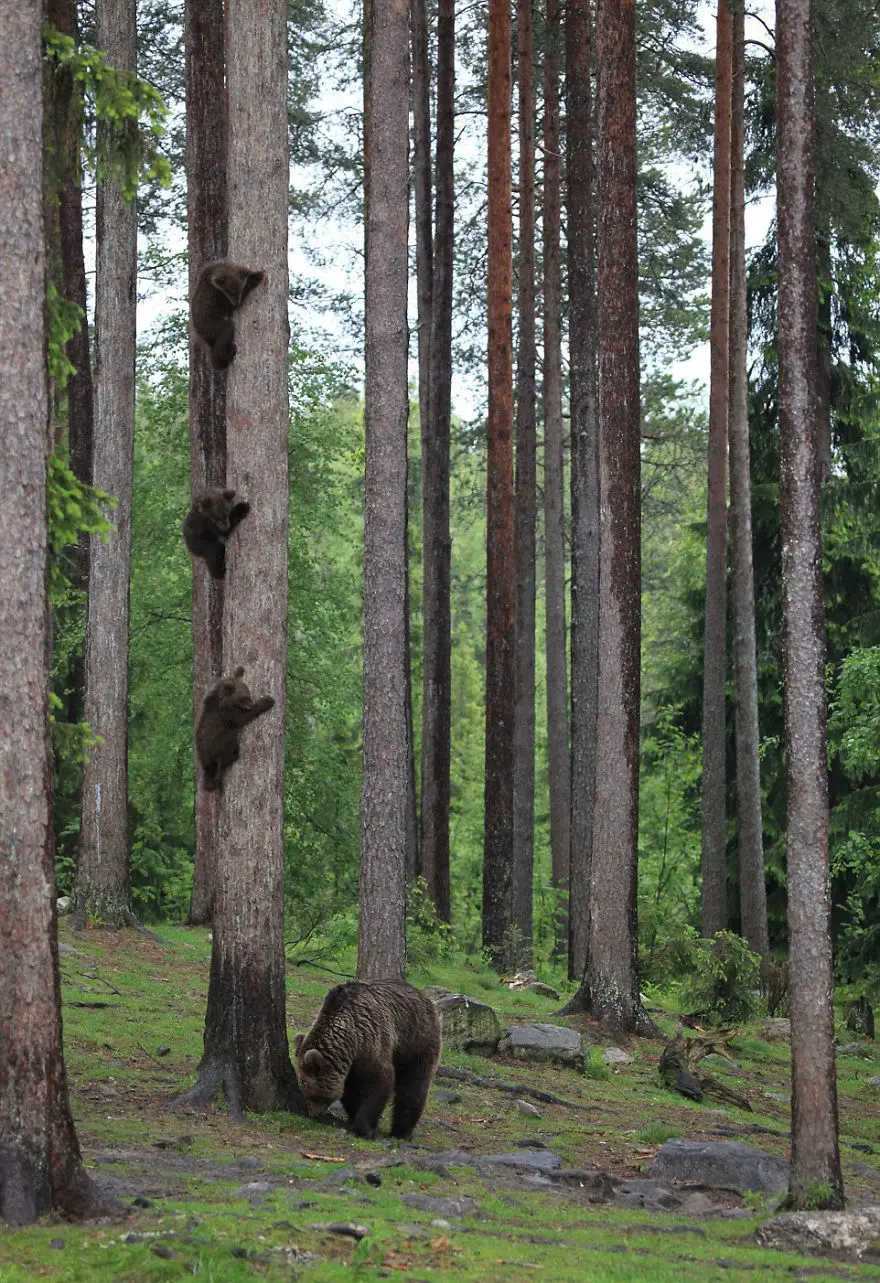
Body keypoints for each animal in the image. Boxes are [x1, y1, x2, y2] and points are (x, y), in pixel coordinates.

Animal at [295, 980, 441, 1144]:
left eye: (313, 1094)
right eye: (304, 1090)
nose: (313, 1114)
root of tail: (425, 997)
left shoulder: (371, 1039)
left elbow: (379, 1083)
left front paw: (362, 1129)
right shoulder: (351, 1064)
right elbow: (351, 1092)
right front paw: (354, 1118)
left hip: (417, 1042)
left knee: (414, 1085)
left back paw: (401, 1131)